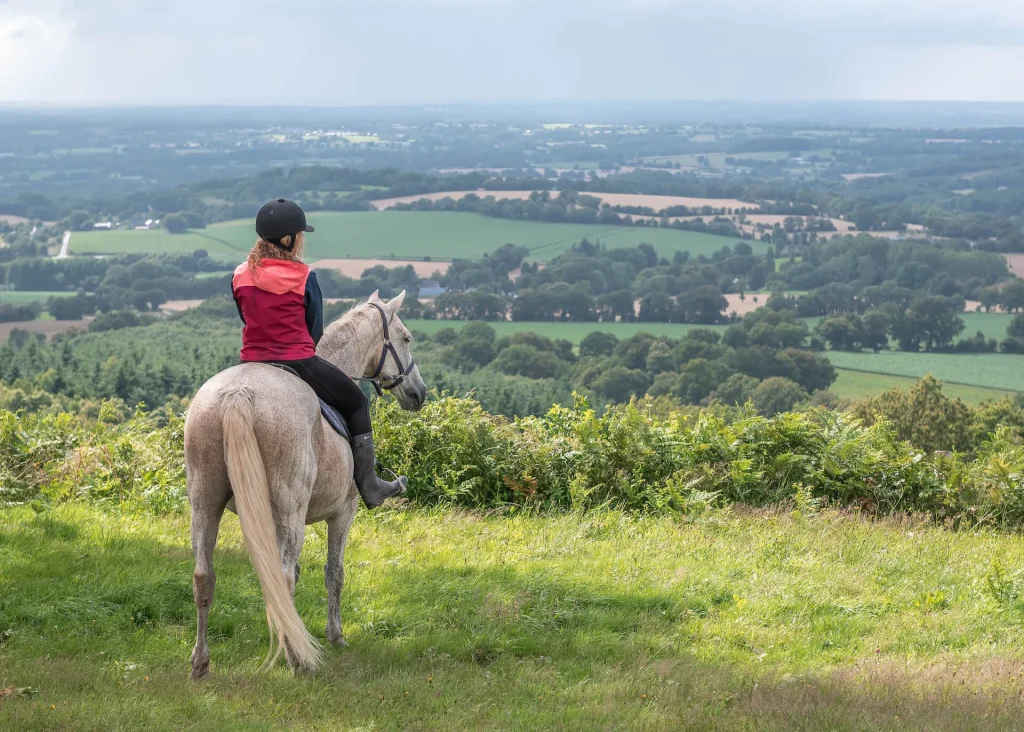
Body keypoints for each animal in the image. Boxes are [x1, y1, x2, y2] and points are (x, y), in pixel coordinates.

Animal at [182, 288, 425, 679]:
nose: (420, 393)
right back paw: (297, 660)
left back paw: (202, 664)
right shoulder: (343, 512)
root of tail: (238, 393)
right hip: (288, 510)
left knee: (205, 576)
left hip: (205, 502)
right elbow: (333, 572)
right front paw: (334, 635)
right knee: (281, 577)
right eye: (405, 338)